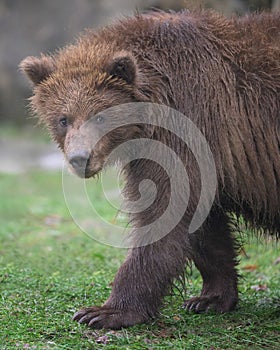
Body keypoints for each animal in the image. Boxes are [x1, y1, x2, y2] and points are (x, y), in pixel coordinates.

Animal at [20, 9, 280, 330]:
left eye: (100, 117)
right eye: (63, 119)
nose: (80, 158)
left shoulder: (188, 125)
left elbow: (164, 212)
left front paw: (104, 312)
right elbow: (204, 224)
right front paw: (210, 298)